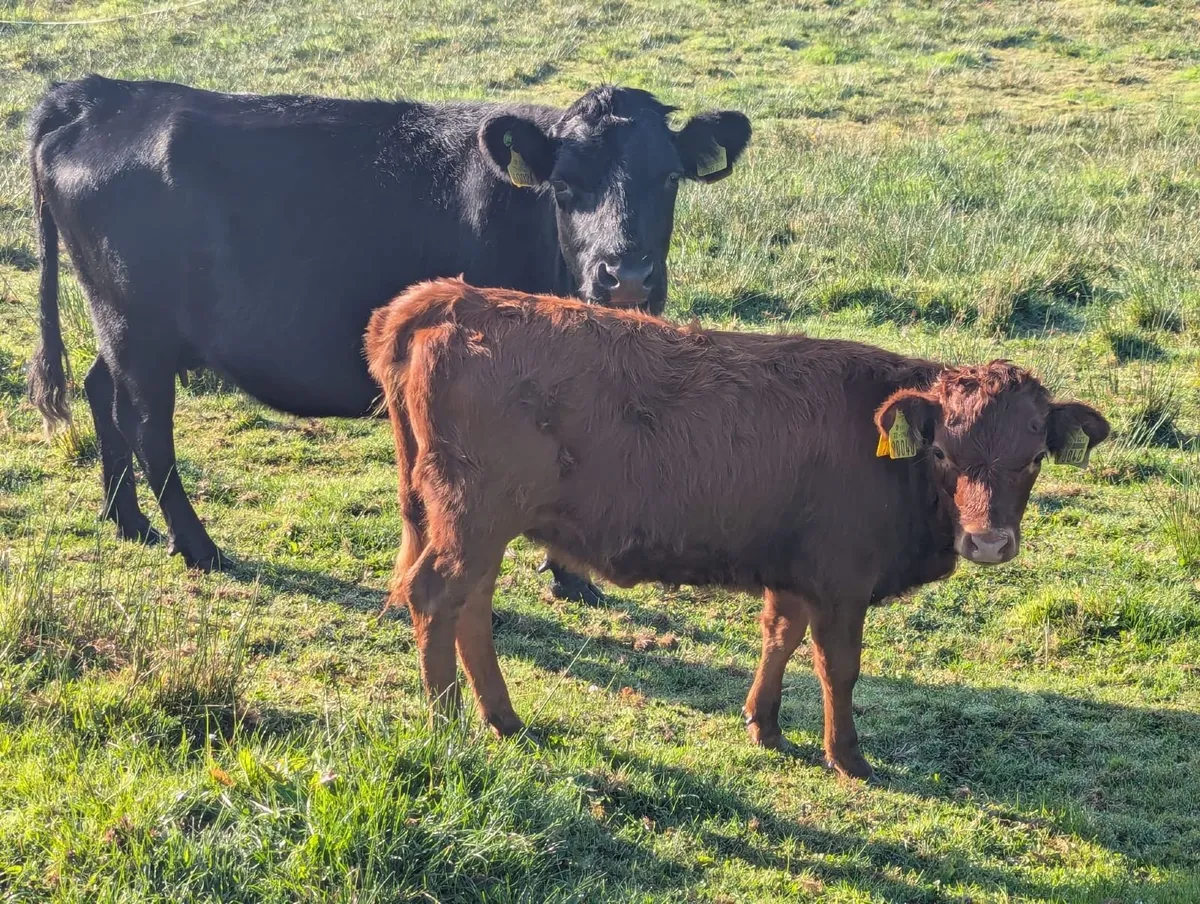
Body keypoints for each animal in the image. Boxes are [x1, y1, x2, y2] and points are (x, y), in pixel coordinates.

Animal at [26, 75, 750, 603]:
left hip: (124, 325)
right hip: (136, 324)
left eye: (668, 178)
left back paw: (129, 522)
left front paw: (568, 576)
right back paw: (198, 546)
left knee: (102, 393)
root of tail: (99, 94)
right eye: (565, 185)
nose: (626, 275)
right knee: (148, 426)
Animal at [365, 278, 1111, 781]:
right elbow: (838, 666)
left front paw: (765, 725)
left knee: (471, 606)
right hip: (474, 519)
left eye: (1033, 456)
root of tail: (455, 296)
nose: (989, 541)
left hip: (476, 525)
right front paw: (848, 756)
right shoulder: (841, 582)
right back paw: (448, 726)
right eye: (945, 455)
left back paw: (503, 720)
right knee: (436, 597)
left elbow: (780, 636)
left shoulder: (793, 571)